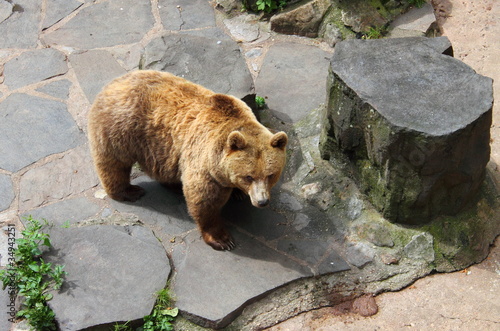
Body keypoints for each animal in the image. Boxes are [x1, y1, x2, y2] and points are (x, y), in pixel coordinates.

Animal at [88, 70, 288, 252]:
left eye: (270, 175)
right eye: (248, 176)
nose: (262, 201)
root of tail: (114, 82)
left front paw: (237, 193)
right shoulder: (205, 161)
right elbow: (204, 200)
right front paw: (222, 239)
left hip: (160, 147)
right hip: (122, 127)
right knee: (114, 163)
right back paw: (128, 191)